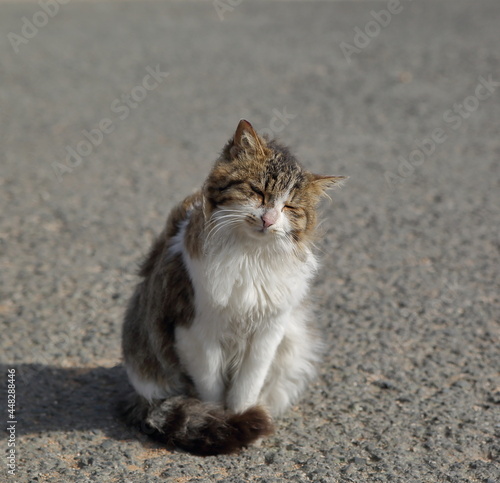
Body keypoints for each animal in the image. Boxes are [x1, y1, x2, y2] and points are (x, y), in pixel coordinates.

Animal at [123, 119, 346, 456]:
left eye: (289, 207)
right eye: (258, 192)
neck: (249, 258)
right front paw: (224, 422)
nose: (269, 219)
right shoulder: (196, 334)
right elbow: (212, 392)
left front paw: (243, 420)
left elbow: (246, 388)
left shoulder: (268, 332)